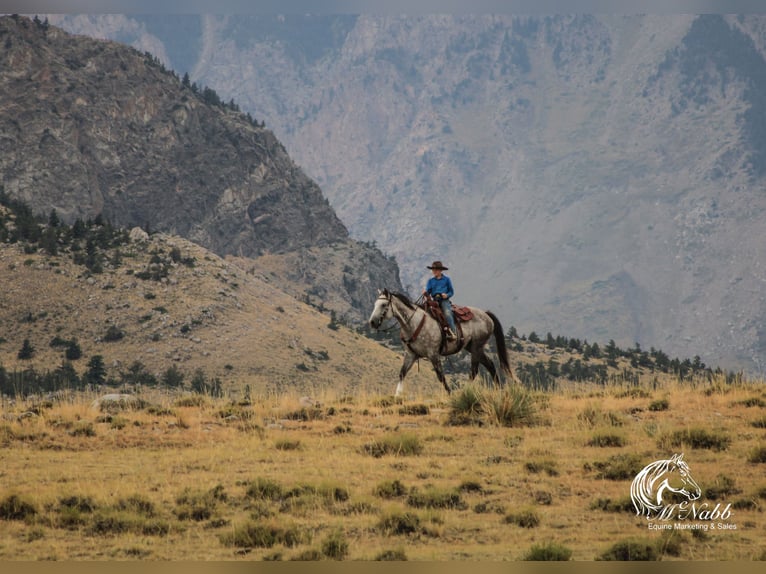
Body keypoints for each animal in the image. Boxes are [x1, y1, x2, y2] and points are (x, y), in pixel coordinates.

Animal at [368, 290, 512, 398]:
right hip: (472, 347)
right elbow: (402, 373)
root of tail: (486, 314)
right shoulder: (410, 354)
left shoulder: (433, 354)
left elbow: (441, 376)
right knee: (490, 364)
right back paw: (499, 390)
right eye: (375, 304)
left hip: (476, 347)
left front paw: (450, 394)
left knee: (474, 370)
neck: (414, 323)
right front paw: (397, 395)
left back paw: (466, 391)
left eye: (383, 304)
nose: (372, 322)